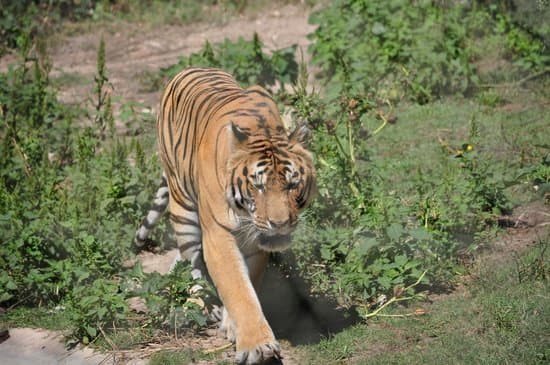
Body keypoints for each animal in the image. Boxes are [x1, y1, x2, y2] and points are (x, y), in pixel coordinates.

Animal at [135, 67, 316, 362]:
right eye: (258, 185)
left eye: (292, 184)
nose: (279, 224)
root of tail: (188, 69)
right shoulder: (218, 237)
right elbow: (237, 288)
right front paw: (257, 346)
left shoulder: (255, 243)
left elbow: (248, 282)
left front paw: (233, 326)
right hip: (183, 211)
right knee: (193, 264)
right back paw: (201, 304)